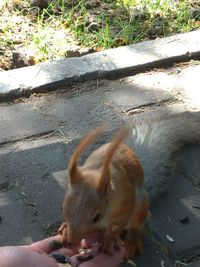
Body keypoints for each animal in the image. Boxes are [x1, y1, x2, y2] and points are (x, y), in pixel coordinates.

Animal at [58, 111, 200, 260]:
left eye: (96, 216)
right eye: (62, 208)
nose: (73, 240)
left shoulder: (126, 205)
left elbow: (120, 225)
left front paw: (110, 238)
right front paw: (66, 228)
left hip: (140, 208)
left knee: (136, 226)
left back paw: (132, 240)